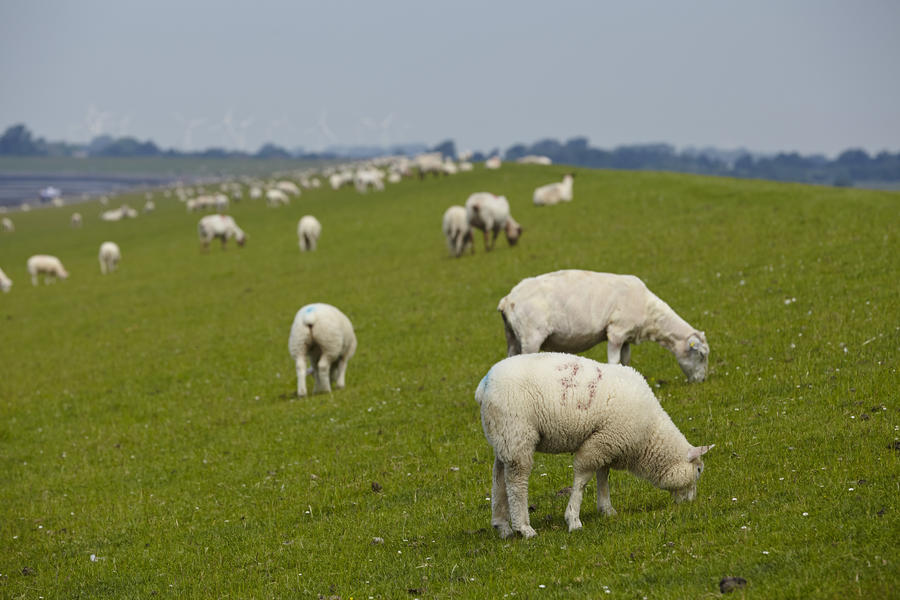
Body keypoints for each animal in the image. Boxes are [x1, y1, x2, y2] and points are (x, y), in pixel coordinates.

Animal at [474, 352, 712, 540]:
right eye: (699, 470)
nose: (691, 503)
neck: (650, 435)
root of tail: (484, 385)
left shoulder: (606, 442)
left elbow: (603, 475)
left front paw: (606, 509)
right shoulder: (602, 442)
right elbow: (582, 479)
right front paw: (573, 519)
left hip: (504, 437)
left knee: (499, 478)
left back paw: (502, 526)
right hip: (517, 434)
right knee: (516, 482)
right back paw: (524, 528)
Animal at [500, 270, 712, 382]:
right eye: (701, 355)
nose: (702, 381)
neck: (649, 314)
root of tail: (507, 300)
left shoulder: (627, 337)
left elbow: (625, 361)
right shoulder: (616, 332)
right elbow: (614, 362)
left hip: (512, 337)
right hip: (531, 336)